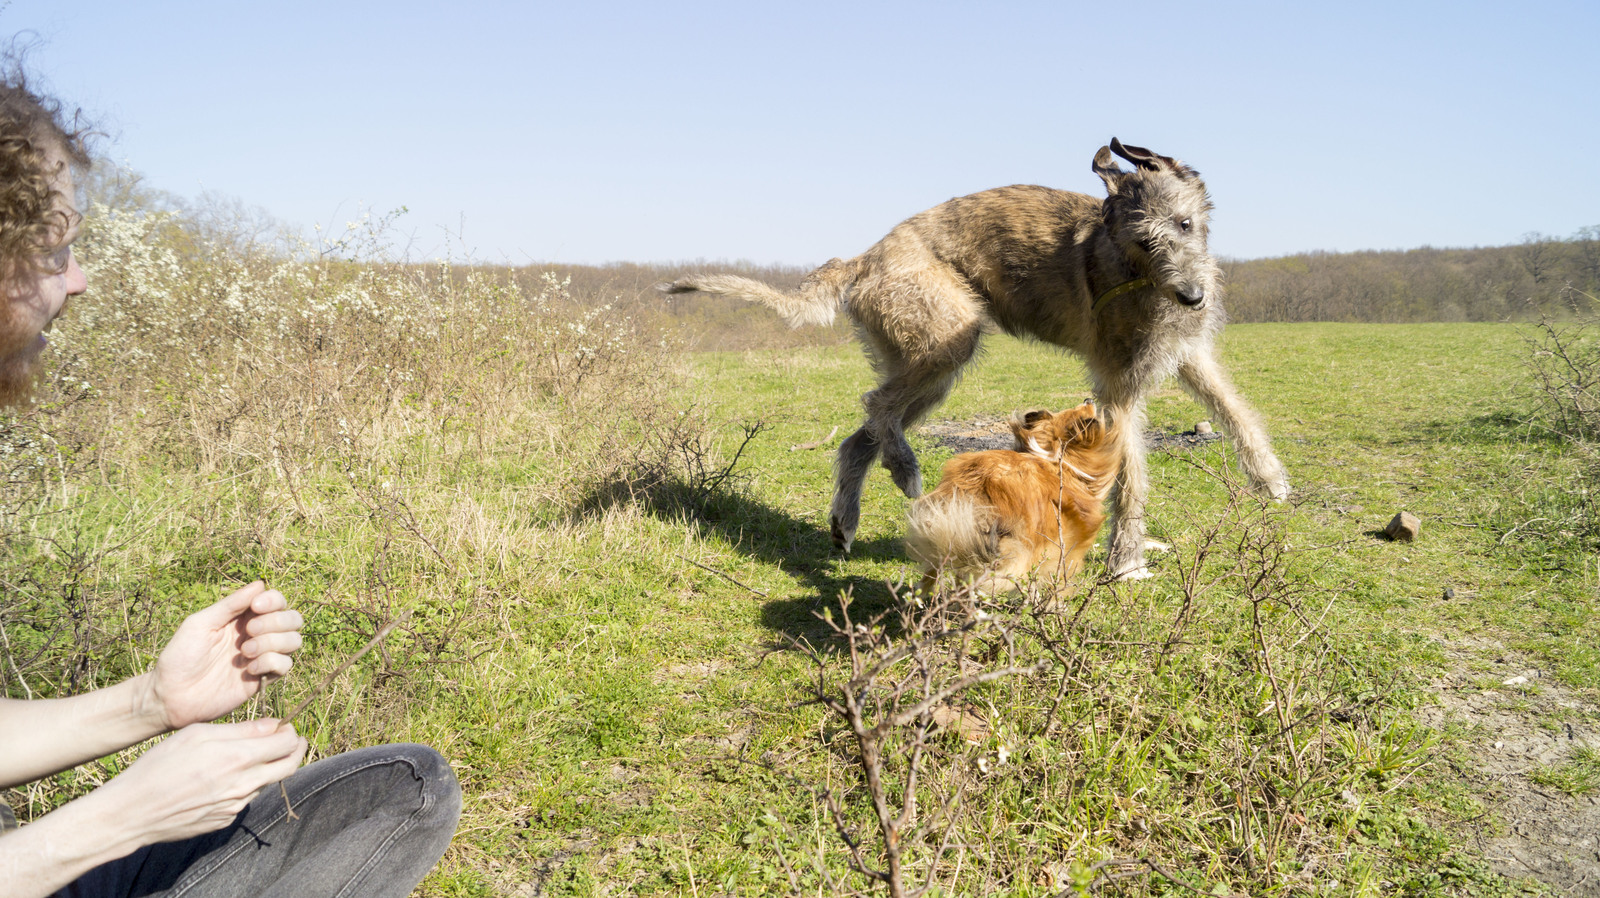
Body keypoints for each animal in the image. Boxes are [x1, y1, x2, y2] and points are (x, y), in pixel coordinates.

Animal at [908, 400, 1120, 595]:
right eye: (1081, 411)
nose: (1088, 400)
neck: (1058, 461)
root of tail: (978, 486)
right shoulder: (1065, 547)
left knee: (933, 573)